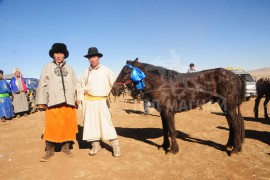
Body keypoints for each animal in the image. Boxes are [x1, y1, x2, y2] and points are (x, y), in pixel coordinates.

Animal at [110, 58, 246, 156]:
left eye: (126, 72)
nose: (114, 90)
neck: (162, 83)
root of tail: (236, 76)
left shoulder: (169, 112)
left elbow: (171, 130)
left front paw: (173, 150)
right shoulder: (163, 112)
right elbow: (165, 129)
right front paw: (164, 146)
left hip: (229, 106)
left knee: (235, 124)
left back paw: (234, 150)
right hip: (225, 106)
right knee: (232, 124)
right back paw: (230, 145)